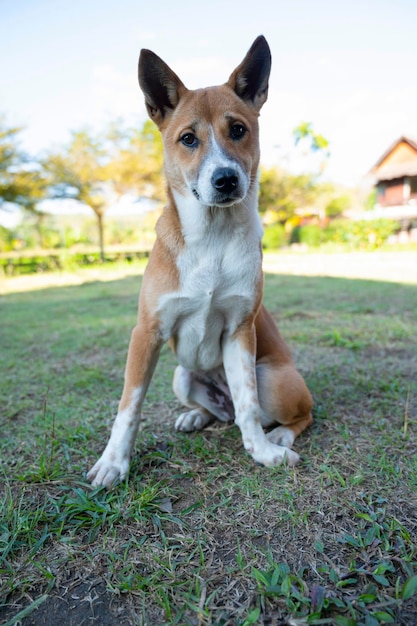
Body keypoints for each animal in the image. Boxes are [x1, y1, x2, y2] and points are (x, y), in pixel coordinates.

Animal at [87, 35, 312, 488]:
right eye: (188, 139)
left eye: (239, 130)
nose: (226, 179)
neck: (213, 238)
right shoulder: (146, 333)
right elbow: (128, 407)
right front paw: (114, 463)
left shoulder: (241, 331)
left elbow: (247, 405)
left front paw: (262, 452)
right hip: (181, 375)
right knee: (220, 412)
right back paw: (196, 416)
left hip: (275, 380)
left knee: (295, 413)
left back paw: (279, 435)